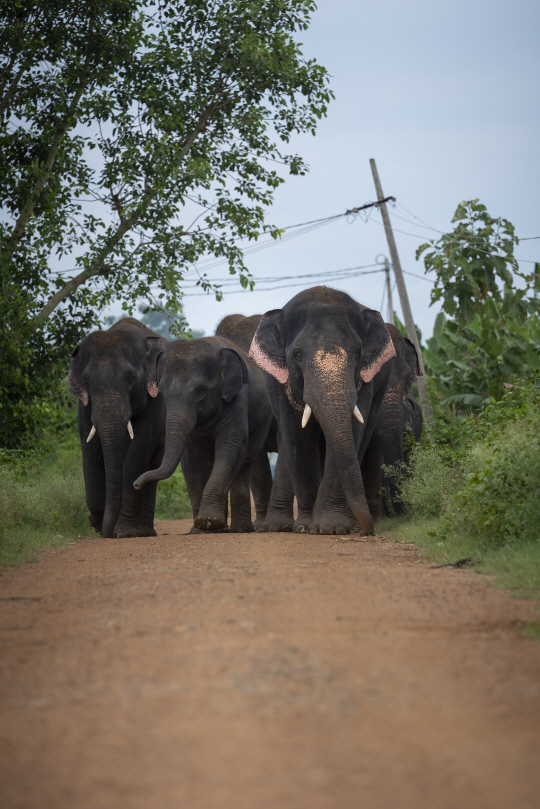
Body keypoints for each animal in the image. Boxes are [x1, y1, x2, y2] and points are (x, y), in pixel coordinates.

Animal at [69, 318, 167, 540]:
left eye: (131, 378)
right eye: (87, 381)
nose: (107, 534)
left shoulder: (155, 402)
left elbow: (137, 453)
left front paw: (125, 533)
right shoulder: (84, 406)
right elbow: (90, 449)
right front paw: (97, 523)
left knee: (152, 469)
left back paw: (146, 532)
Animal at [131, 332, 274, 532]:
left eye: (200, 391)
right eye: (163, 392)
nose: (135, 484)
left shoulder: (237, 399)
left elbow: (231, 446)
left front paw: (209, 520)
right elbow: (192, 460)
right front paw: (200, 528)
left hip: (262, 421)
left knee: (245, 461)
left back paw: (239, 529)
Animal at [247, 286, 394, 536]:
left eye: (358, 352)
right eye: (297, 354)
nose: (368, 531)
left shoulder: (365, 381)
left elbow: (352, 430)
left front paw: (332, 527)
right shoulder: (280, 383)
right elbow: (296, 436)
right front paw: (305, 527)